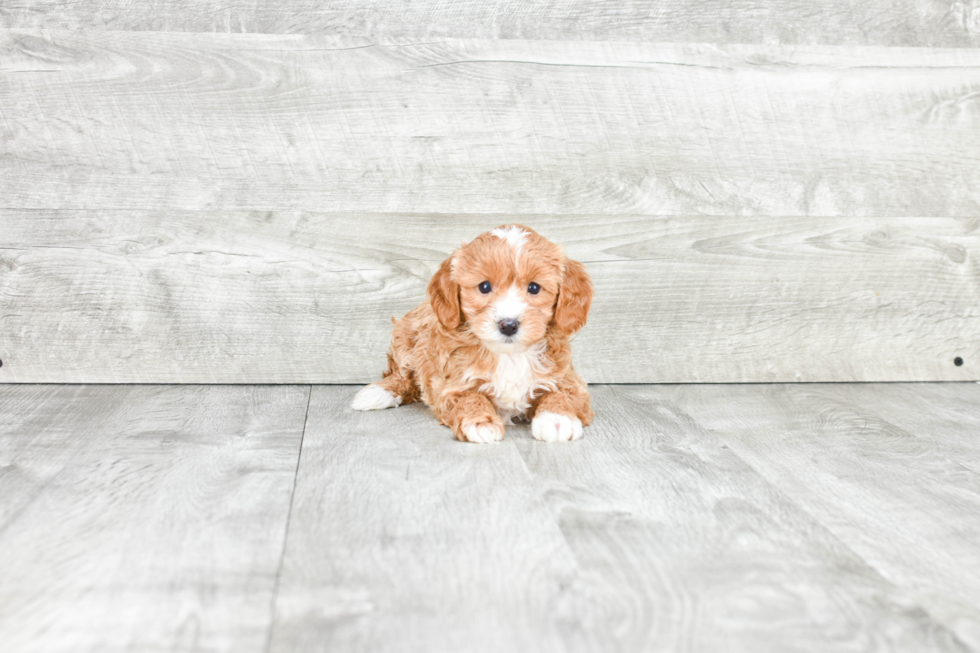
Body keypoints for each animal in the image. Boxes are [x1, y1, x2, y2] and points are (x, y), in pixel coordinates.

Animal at [354, 224, 596, 444]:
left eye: (534, 288)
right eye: (484, 287)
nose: (508, 325)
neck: (510, 355)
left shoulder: (570, 381)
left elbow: (561, 394)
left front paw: (557, 419)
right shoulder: (450, 386)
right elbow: (470, 397)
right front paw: (480, 423)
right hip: (406, 336)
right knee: (402, 375)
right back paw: (377, 393)